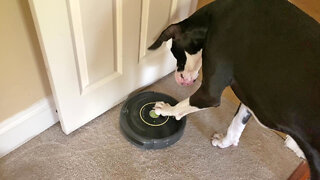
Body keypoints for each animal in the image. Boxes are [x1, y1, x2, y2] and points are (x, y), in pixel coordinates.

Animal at [149, 0, 318, 178]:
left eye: (174, 52)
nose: (182, 80)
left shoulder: (209, 93)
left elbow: (184, 105)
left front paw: (166, 110)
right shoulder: (251, 98)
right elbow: (236, 124)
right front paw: (225, 142)